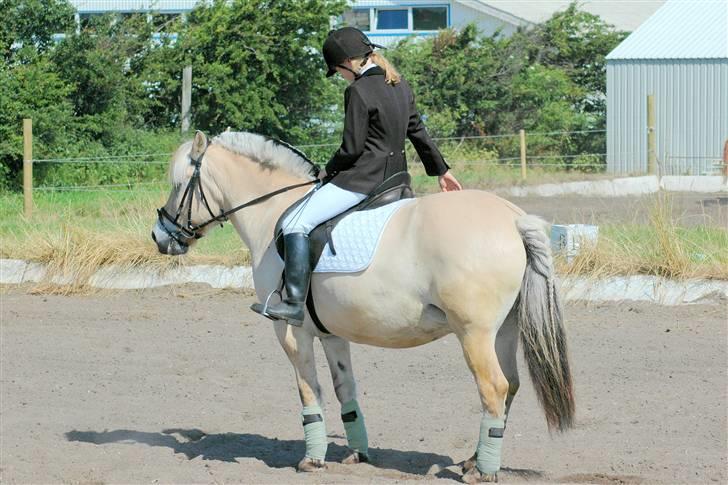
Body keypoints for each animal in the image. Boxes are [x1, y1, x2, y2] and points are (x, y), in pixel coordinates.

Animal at [152, 130, 576, 482]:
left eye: (178, 185)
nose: (160, 237)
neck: (274, 212)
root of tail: (514, 219)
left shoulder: (291, 331)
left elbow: (309, 390)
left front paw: (313, 458)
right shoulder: (332, 335)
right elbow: (345, 389)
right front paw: (357, 453)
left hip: (474, 333)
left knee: (493, 387)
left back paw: (483, 471)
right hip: (504, 329)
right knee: (511, 387)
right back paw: (473, 460)